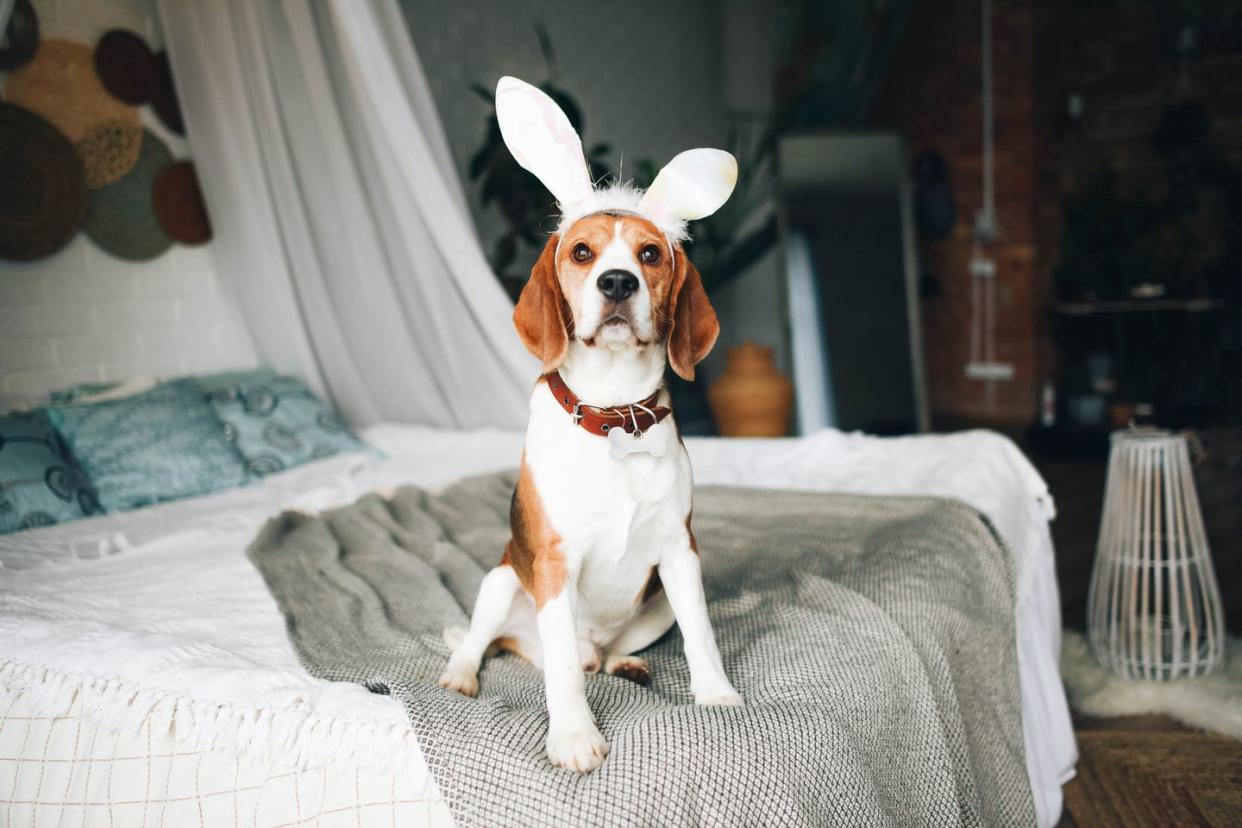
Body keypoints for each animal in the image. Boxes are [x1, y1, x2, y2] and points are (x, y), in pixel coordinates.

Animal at [442, 76, 740, 769]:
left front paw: (716, 697)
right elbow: (560, 677)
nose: (618, 283)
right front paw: (574, 736)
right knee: (493, 642)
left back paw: (622, 661)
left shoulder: (680, 552)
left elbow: (703, 636)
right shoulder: (555, 561)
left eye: (651, 253)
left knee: (603, 656)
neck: (615, 413)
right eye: (581, 251)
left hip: (655, 602)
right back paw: (464, 673)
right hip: (503, 579)